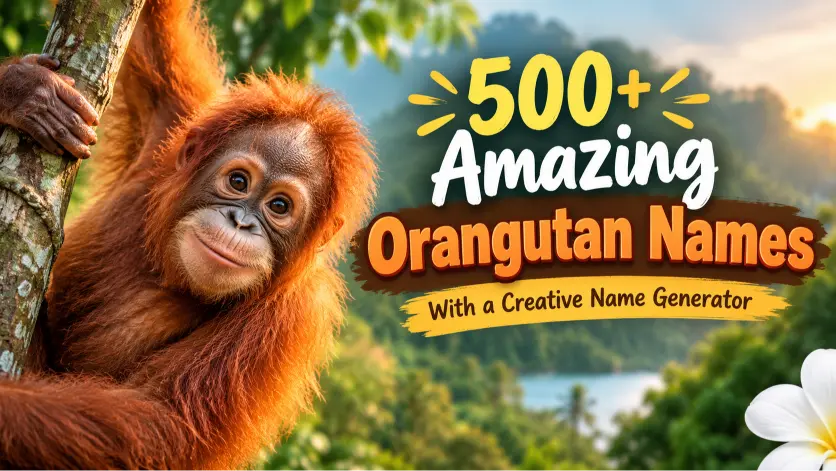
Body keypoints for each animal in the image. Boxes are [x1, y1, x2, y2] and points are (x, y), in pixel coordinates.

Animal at [0, 0, 376, 468]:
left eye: (280, 207)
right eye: (238, 182)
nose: (241, 223)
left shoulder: (296, 313)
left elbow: (164, 427)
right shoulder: (176, 116)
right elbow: (149, 26)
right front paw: (21, 91)